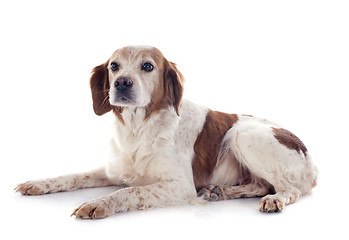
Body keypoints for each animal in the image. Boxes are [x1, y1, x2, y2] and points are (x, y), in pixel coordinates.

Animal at [15, 45, 316, 219]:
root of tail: (311, 162)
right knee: (259, 184)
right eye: (114, 66)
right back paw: (219, 191)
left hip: (243, 133)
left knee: (289, 189)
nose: (121, 83)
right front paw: (38, 183)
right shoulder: (113, 171)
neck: (138, 128)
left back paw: (274, 199)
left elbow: (130, 192)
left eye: (147, 66)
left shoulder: (180, 186)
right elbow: (73, 176)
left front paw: (100, 203)